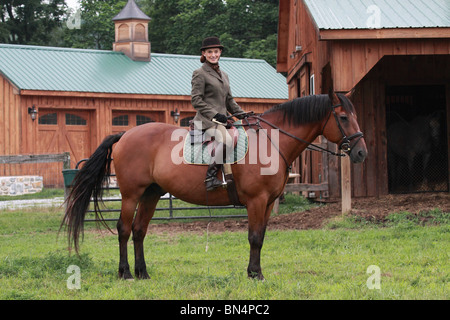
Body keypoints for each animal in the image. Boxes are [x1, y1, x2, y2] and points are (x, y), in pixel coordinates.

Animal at [61, 92, 368, 280]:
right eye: (343, 117)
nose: (362, 153)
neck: (271, 141)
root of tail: (125, 133)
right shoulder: (256, 201)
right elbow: (254, 238)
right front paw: (255, 275)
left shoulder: (268, 203)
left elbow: (261, 237)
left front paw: (255, 272)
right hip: (131, 194)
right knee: (124, 230)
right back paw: (125, 273)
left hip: (151, 194)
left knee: (139, 231)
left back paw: (143, 273)